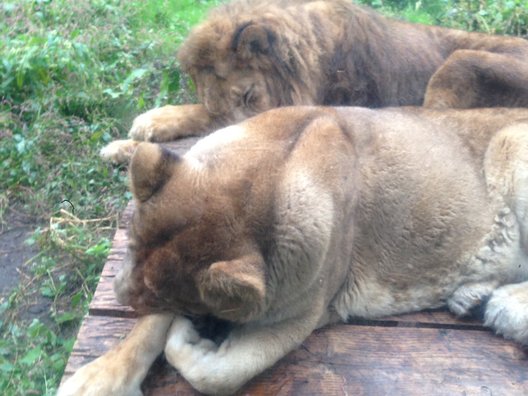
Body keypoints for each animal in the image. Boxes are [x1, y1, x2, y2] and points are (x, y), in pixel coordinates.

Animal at [63, 106, 528, 396]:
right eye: (128, 246)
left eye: (172, 296)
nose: (119, 296)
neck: (270, 171)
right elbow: (147, 331)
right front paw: (100, 378)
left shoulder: (303, 316)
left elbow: (218, 374)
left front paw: (188, 338)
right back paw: (473, 296)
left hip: (513, 145)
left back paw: (504, 306)